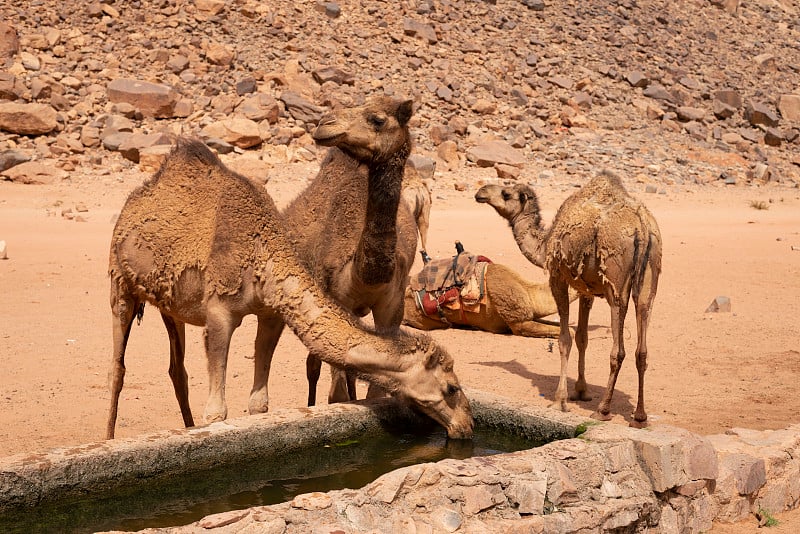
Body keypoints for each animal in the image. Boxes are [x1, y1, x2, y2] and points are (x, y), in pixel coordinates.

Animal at [106, 137, 476, 440]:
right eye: (452, 387)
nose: (468, 425)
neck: (265, 258)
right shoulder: (219, 313)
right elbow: (217, 411)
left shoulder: (272, 314)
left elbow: (259, 404)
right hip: (119, 282)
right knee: (118, 369)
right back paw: (109, 437)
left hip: (170, 305)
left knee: (176, 368)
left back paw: (187, 427)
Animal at [278, 97, 422, 406]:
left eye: (377, 119)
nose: (324, 123)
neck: (364, 276)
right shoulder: (335, 302)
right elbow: (337, 390)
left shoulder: (393, 309)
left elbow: (376, 386)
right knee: (314, 366)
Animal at [476, 174, 664, 430]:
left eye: (506, 194)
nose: (481, 192)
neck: (544, 243)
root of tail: (642, 228)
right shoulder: (587, 290)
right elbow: (582, 337)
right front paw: (581, 391)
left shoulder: (558, 277)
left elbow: (565, 339)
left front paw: (559, 401)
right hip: (649, 281)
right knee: (642, 348)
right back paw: (640, 417)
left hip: (616, 284)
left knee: (618, 349)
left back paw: (603, 410)